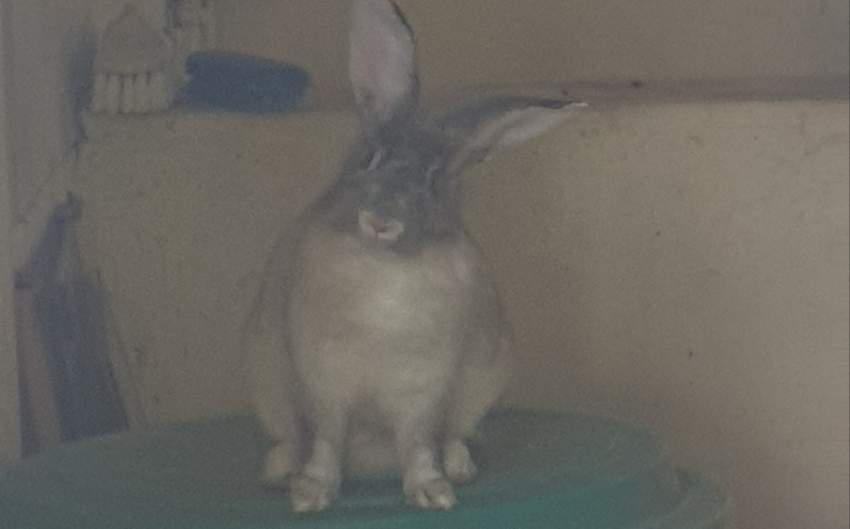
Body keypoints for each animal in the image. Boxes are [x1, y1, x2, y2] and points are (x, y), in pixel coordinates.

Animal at [247, 0, 586, 513]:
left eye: (432, 181)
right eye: (370, 158)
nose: (380, 221)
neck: (384, 265)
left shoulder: (421, 394)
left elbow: (420, 444)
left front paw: (434, 493)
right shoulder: (325, 391)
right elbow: (324, 444)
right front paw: (310, 496)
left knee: (453, 436)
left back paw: (461, 468)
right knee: (294, 441)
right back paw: (279, 471)